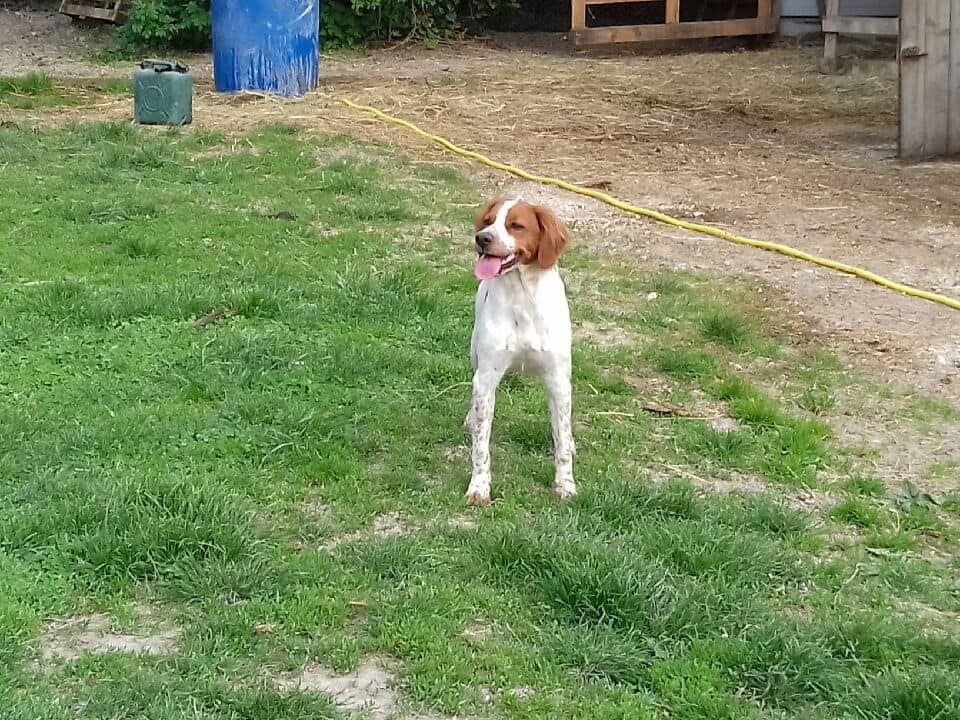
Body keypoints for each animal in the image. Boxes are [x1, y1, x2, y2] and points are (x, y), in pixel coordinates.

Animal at [466, 197, 576, 506]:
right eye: (488, 221)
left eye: (516, 225)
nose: (482, 238)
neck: (522, 296)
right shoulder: (486, 377)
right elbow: (481, 446)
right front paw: (479, 487)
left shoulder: (559, 380)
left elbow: (562, 442)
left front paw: (565, 485)